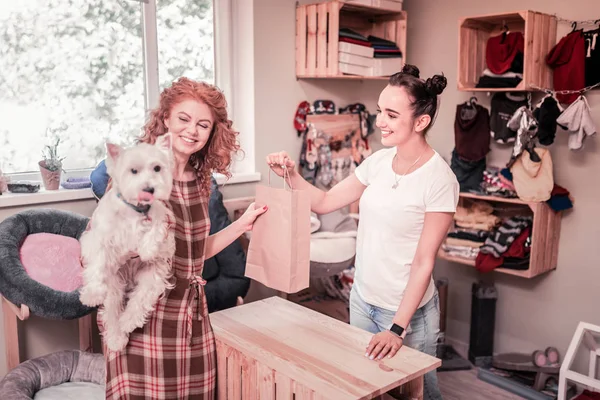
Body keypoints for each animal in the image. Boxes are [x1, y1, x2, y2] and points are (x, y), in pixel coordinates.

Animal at [79, 134, 175, 350]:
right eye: (133, 171)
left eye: (157, 168)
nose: (149, 189)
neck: (136, 209)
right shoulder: (99, 238)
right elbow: (97, 265)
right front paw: (92, 294)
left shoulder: (160, 219)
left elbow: (155, 231)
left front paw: (147, 249)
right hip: (114, 283)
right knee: (112, 309)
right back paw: (116, 338)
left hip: (152, 276)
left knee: (139, 300)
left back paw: (127, 322)